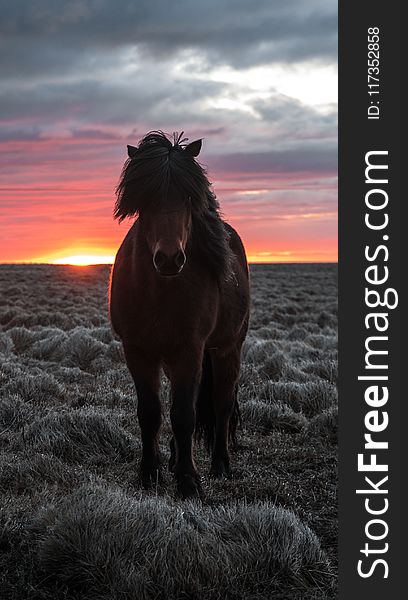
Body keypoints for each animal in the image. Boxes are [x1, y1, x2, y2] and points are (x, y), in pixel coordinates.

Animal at [108, 130, 249, 496]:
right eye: (145, 200)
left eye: (188, 198)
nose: (169, 258)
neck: (160, 290)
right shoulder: (138, 350)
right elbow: (151, 412)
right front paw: (150, 473)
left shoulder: (190, 349)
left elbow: (184, 414)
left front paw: (188, 481)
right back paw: (172, 459)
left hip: (227, 349)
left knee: (222, 403)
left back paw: (220, 465)